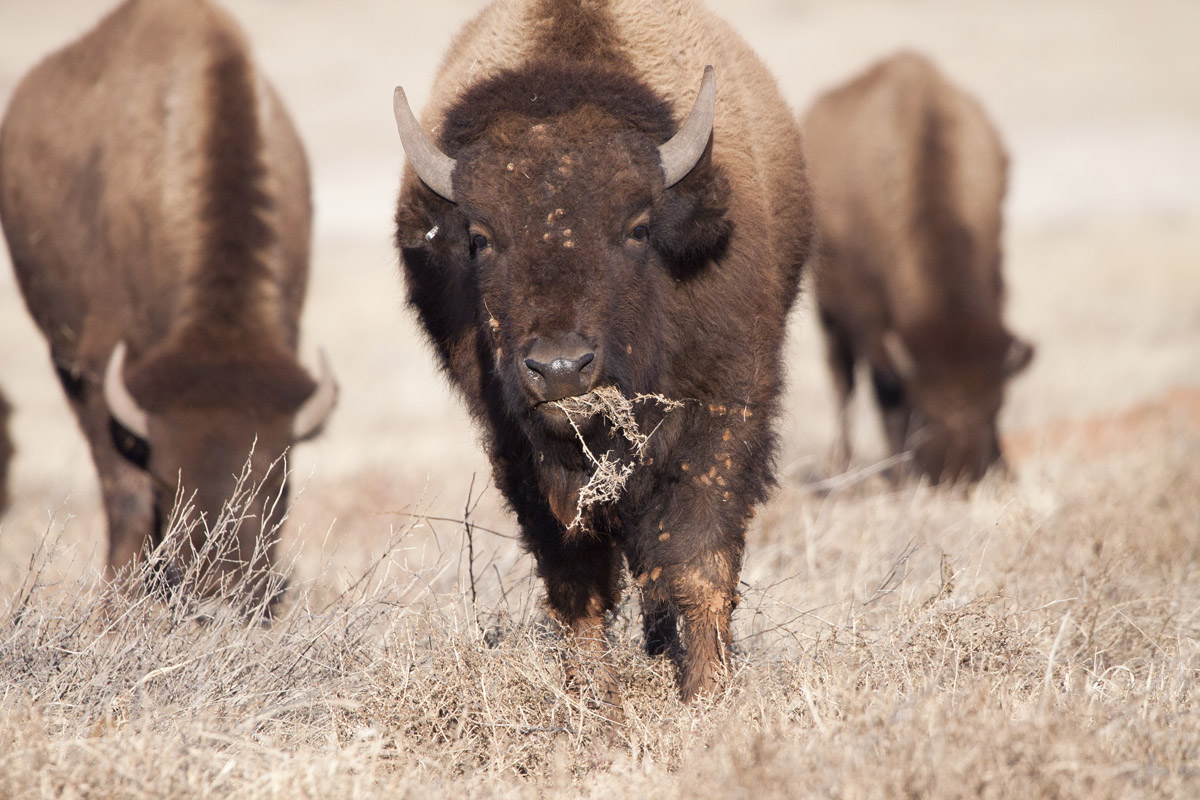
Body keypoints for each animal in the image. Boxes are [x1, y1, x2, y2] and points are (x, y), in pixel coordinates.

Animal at [393, 0, 812, 706]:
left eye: (637, 229)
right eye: (479, 237)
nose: (561, 368)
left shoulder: (724, 414)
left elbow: (698, 561)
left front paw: (707, 694)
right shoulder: (518, 448)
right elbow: (576, 581)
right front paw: (593, 698)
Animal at [803, 52, 1033, 484]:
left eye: (997, 403)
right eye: (926, 408)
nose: (960, 472)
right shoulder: (871, 319)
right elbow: (886, 392)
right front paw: (899, 473)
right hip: (829, 313)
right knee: (842, 381)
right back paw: (840, 466)